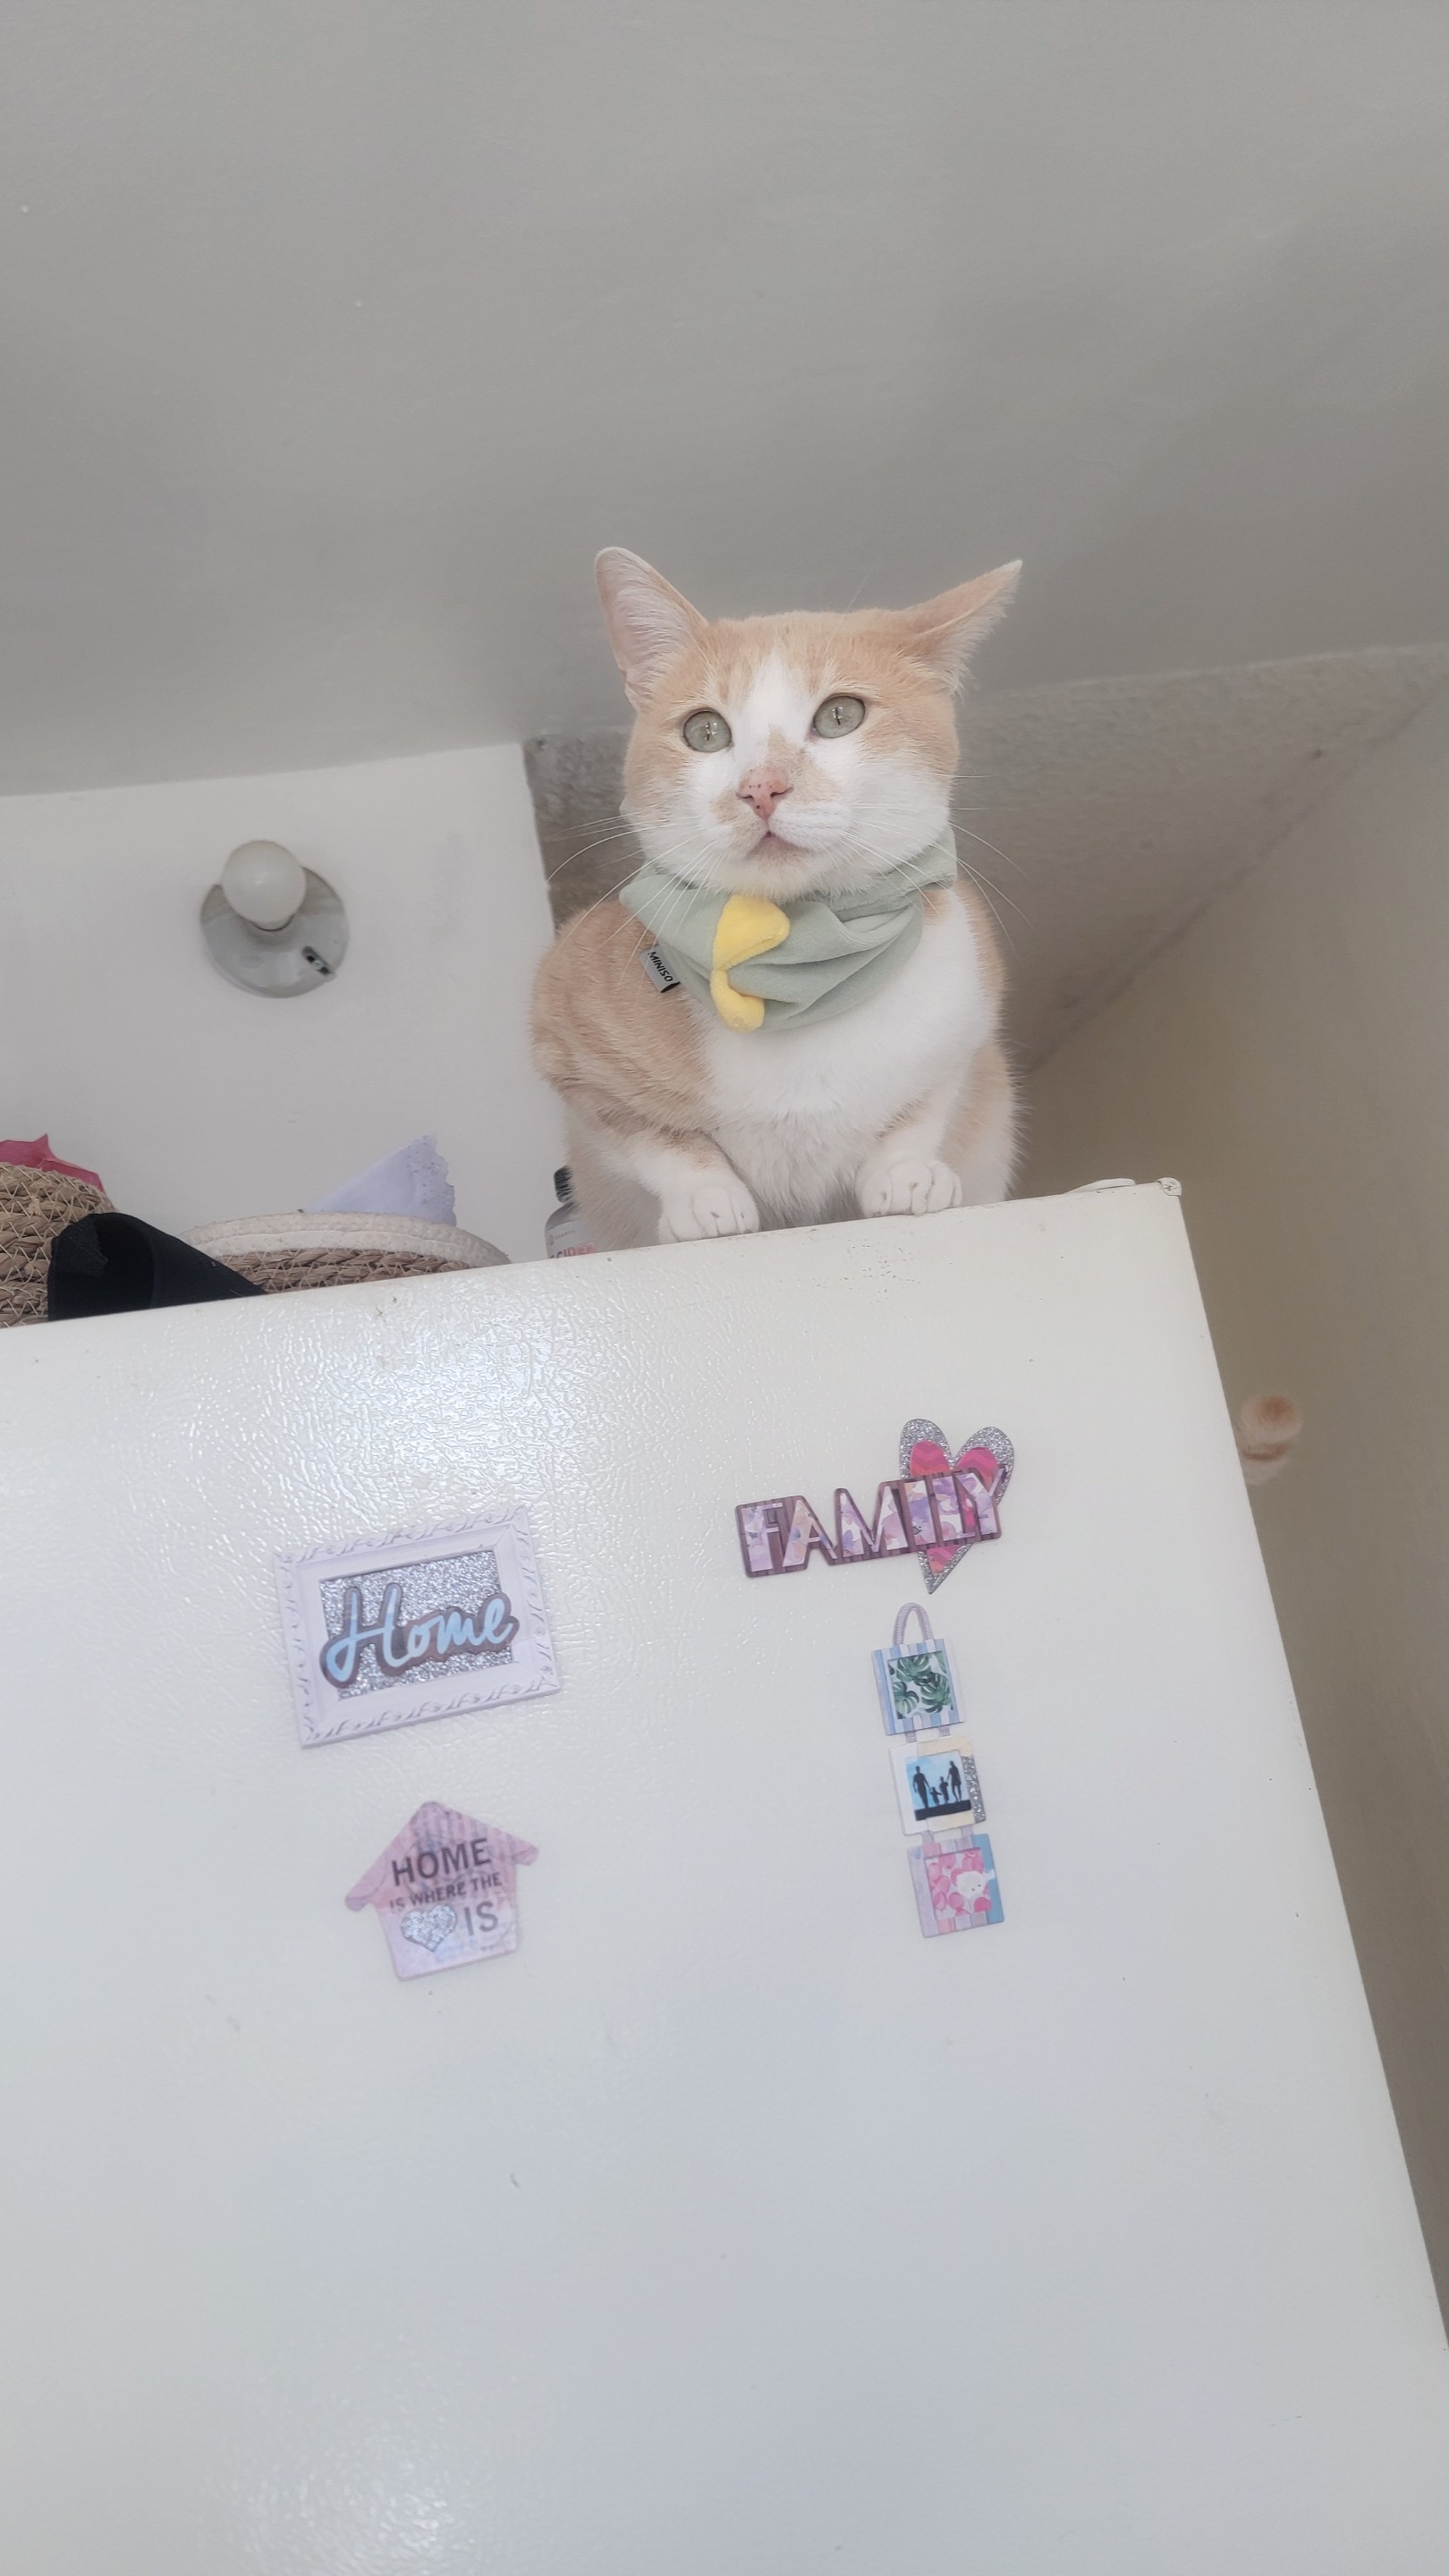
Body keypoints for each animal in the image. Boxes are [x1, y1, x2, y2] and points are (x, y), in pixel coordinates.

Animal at [531, 548, 1021, 1252]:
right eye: (705, 731)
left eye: (840, 716)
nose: (761, 788)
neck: (794, 961)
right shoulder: (566, 1041)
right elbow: (653, 1138)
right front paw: (705, 1199)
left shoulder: (967, 1015)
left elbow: (926, 1105)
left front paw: (906, 1173)